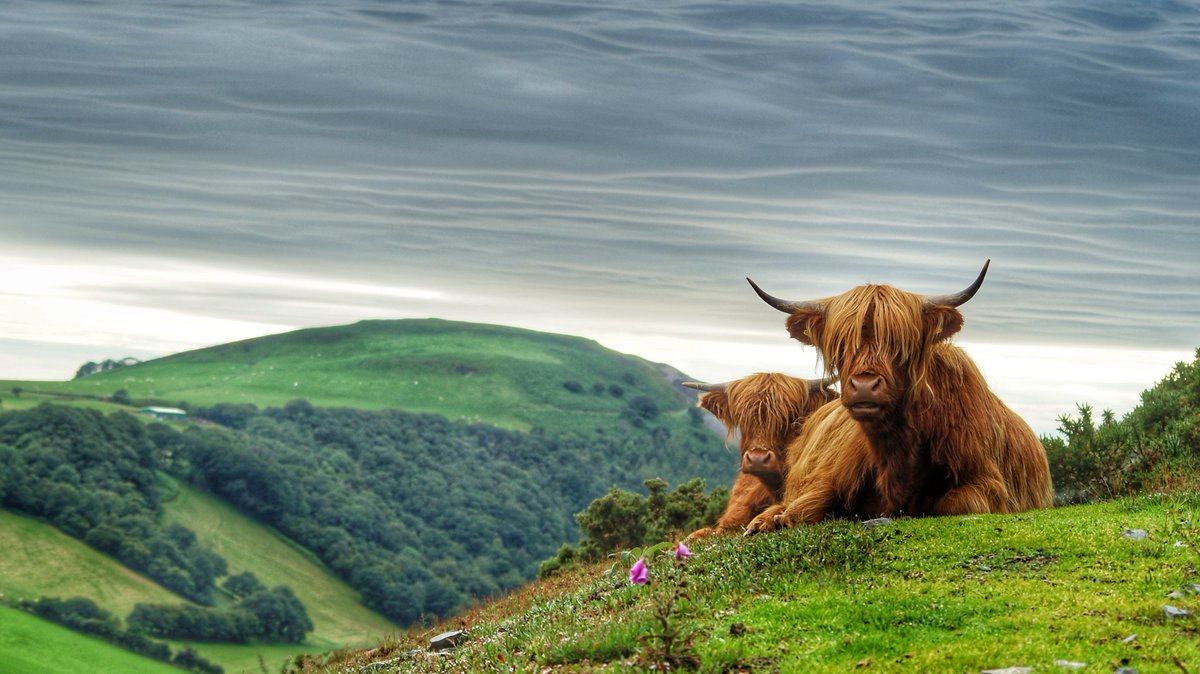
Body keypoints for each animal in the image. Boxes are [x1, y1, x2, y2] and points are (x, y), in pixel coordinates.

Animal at [745, 260, 1053, 531]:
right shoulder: (829, 478)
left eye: (898, 343)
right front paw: (771, 520)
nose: (864, 385)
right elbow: (805, 506)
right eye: (841, 343)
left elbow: (958, 502)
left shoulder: (989, 482)